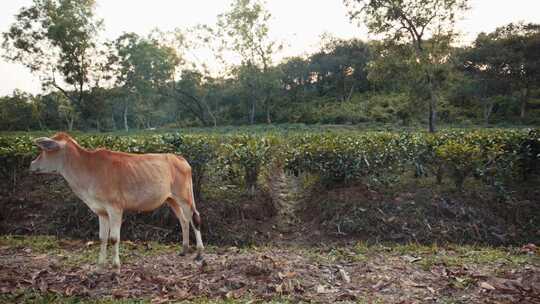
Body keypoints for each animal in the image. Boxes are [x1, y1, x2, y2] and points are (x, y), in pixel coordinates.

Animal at [29, 132, 205, 270]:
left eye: (44, 149)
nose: (31, 164)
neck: (87, 169)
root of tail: (179, 157)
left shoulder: (115, 208)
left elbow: (114, 237)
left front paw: (115, 265)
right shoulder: (101, 211)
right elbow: (102, 237)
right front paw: (100, 265)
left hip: (184, 196)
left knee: (194, 218)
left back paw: (199, 253)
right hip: (171, 199)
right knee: (183, 220)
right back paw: (184, 249)